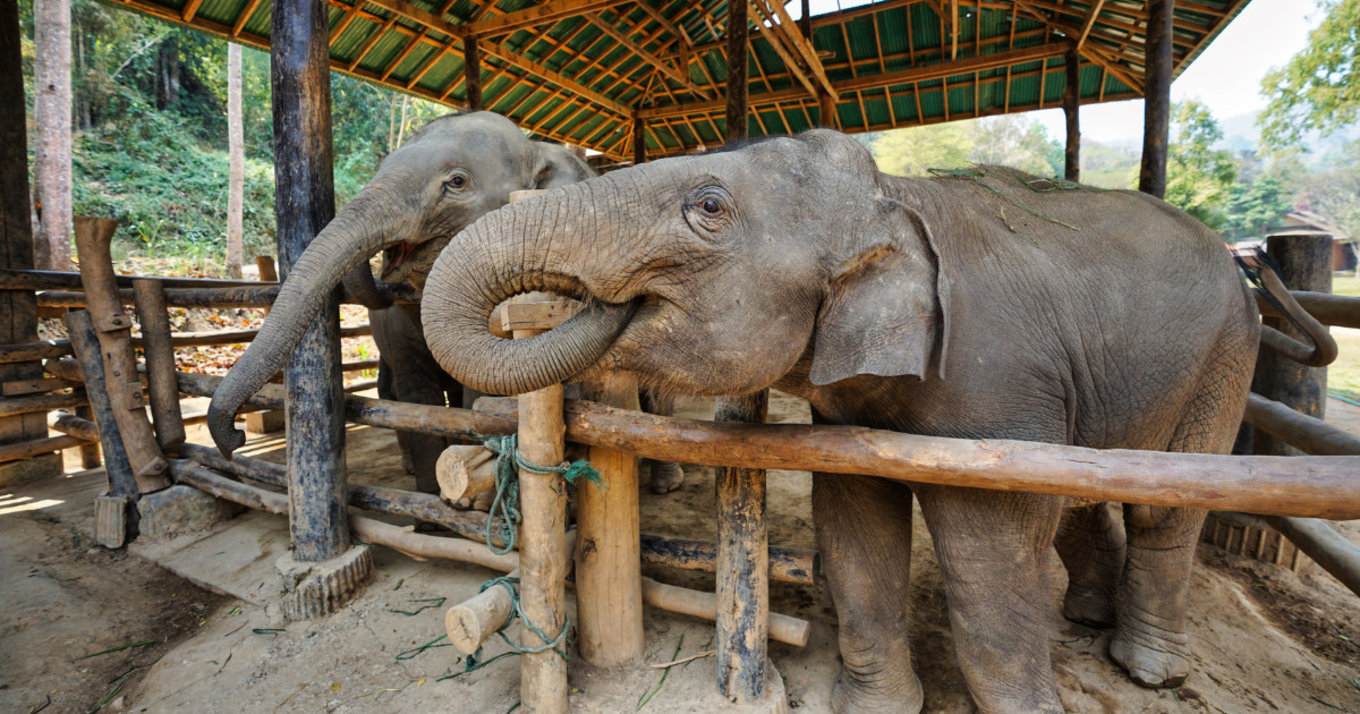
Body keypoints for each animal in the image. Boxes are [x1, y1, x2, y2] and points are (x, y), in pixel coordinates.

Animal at [411, 130, 1334, 713]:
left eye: (708, 206)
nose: (597, 301)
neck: (893, 193)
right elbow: (856, 522)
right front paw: (879, 707)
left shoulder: (999, 377)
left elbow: (988, 550)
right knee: (1079, 496)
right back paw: (1087, 622)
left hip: (1226, 357)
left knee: (1160, 513)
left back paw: (1145, 672)